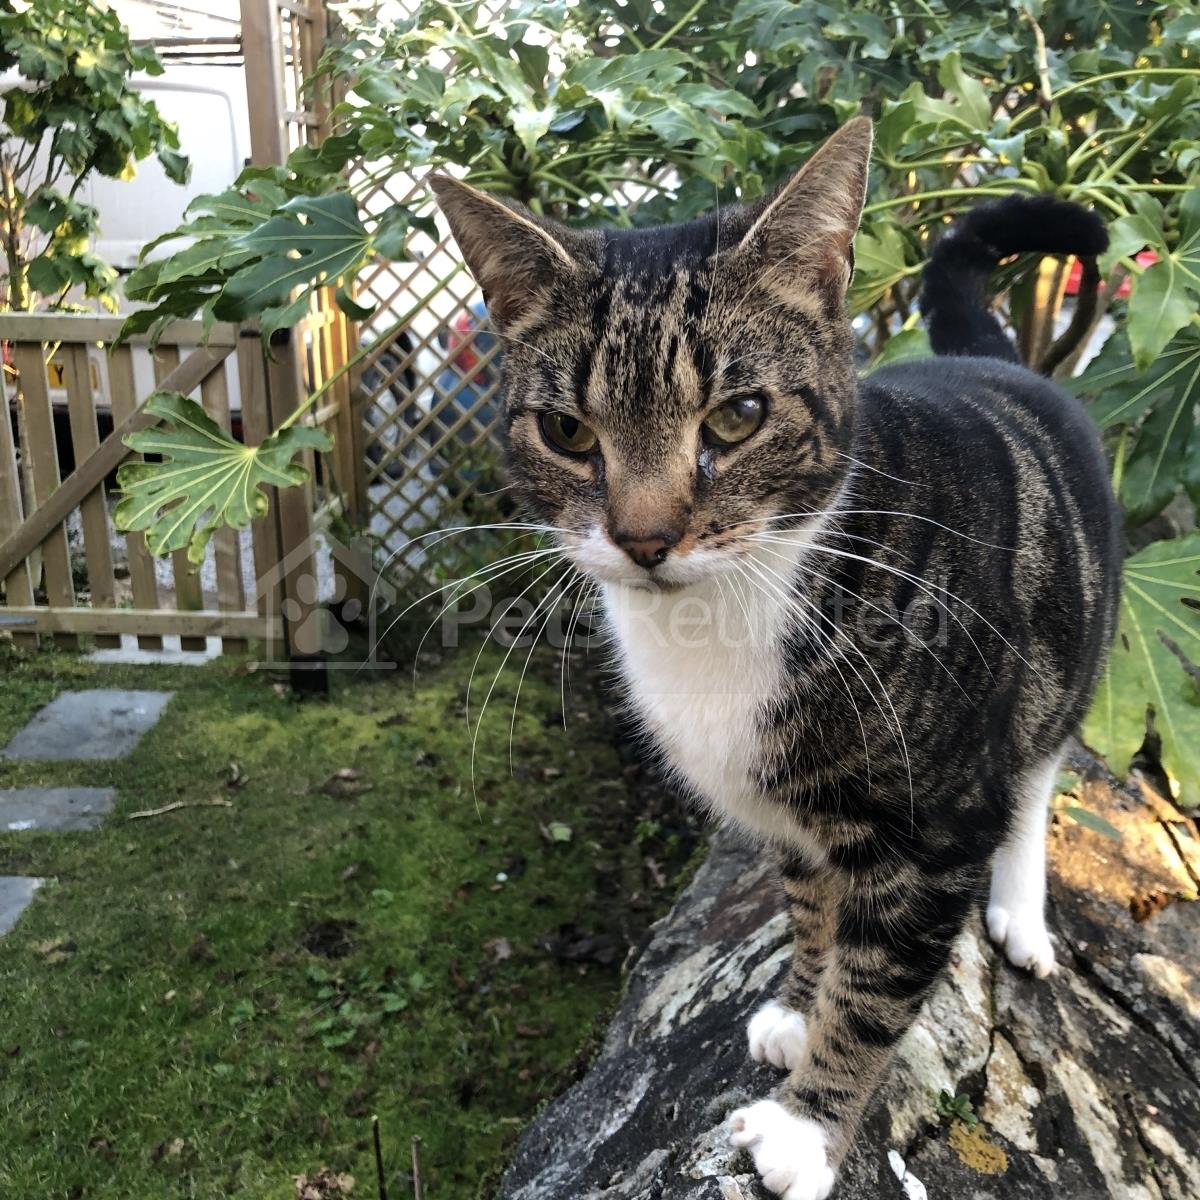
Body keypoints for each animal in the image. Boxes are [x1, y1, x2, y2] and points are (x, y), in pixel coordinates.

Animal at [432, 116, 1120, 1200]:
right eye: (567, 430)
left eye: (736, 417)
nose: (644, 537)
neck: (719, 624)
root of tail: (1003, 363)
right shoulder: (790, 812)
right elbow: (810, 910)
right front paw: (800, 1008)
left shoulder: (933, 832)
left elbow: (876, 993)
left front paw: (806, 1128)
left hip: (1065, 659)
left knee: (1038, 776)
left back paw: (1019, 909)